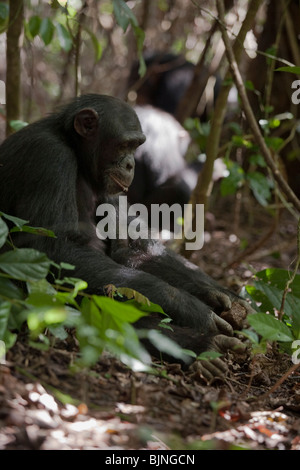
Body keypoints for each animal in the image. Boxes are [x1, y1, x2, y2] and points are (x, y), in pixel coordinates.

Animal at [0, 94, 250, 378]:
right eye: (125, 145)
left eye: (136, 145)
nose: (131, 164)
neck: (76, 153)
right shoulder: (49, 157)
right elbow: (54, 248)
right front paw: (194, 310)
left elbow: (129, 248)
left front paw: (217, 295)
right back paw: (201, 347)